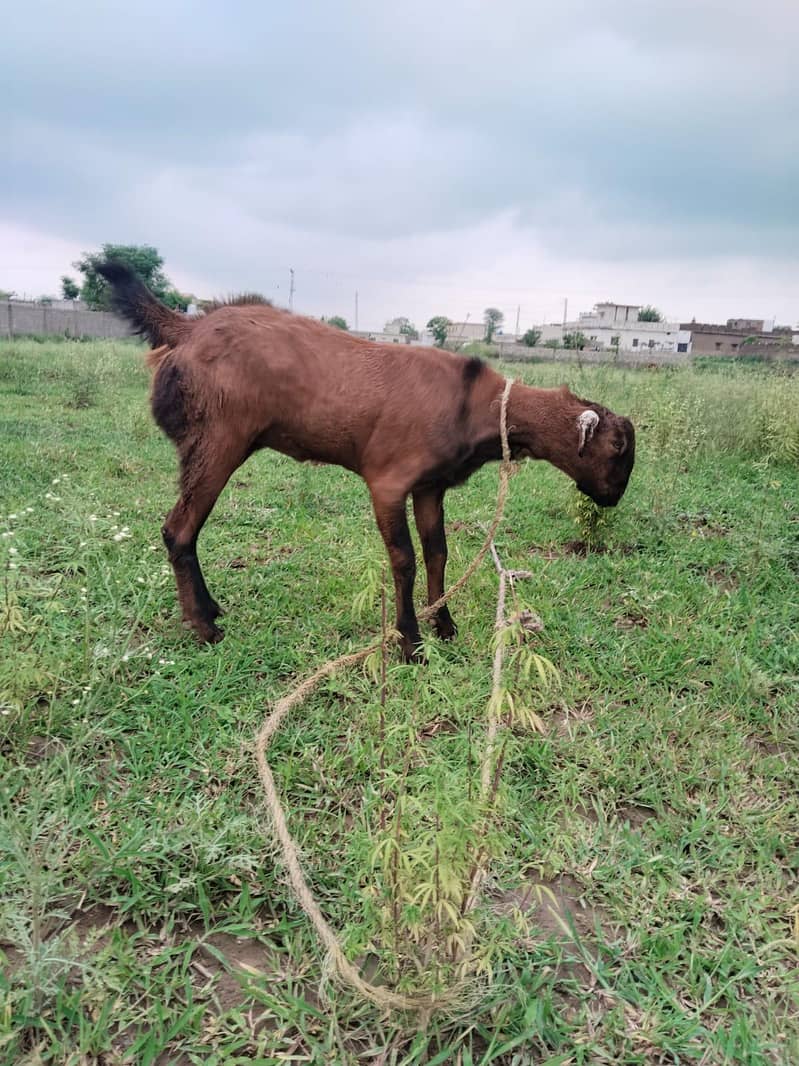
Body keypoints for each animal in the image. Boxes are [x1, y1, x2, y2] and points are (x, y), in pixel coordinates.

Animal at [98, 260, 635, 660]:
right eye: (617, 449)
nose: (612, 500)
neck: (476, 406)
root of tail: (186, 327)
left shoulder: (430, 485)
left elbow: (437, 552)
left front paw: (444, 624)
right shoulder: (389, 481)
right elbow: (404, 559)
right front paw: (409, 643)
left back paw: (211, 612)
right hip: (218, 438)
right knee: (179, 530)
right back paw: (205, 627)